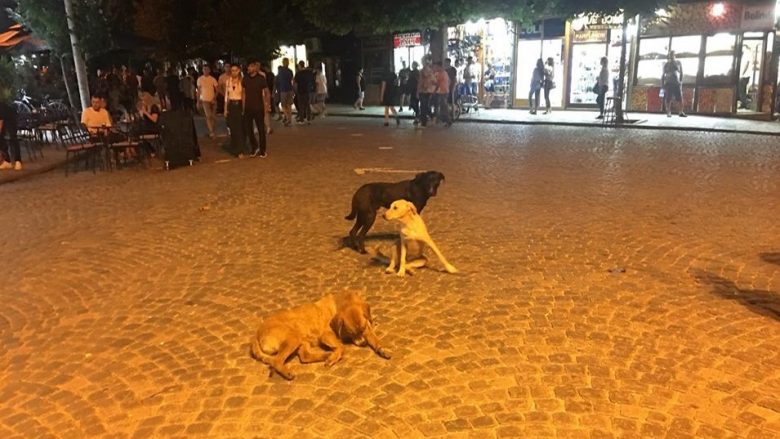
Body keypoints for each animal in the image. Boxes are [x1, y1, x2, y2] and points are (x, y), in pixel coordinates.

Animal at [250, 292, 390, 382]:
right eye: (351, 333)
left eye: (362, 328)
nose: (363, 344)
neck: (340, 304)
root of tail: (256, 334)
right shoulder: (326, 336)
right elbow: (342, 347)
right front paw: (334, 357)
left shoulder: (367, 330)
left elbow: (375, 340)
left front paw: (382, 349)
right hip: (293, 338)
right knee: (277, 361)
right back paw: (288, 372)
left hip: (302, 342)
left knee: (304, 357)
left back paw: (325, 355)